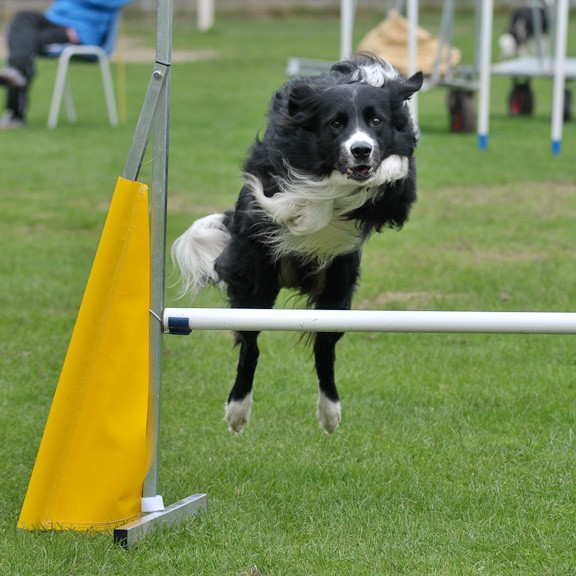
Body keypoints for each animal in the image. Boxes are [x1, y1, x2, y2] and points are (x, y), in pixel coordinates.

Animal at [172, 54, 424, 434]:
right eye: (336, 123)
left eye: (376, 120)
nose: (361, 150)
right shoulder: (275, 166)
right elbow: (300, 194)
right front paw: (302, 213)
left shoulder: (396, 195)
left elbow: (388, 171)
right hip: (254, 284)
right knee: (250, 346)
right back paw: (237, 410)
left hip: (338, 291)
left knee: (324, 348)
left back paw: (330, 412)